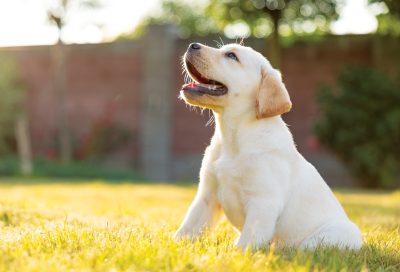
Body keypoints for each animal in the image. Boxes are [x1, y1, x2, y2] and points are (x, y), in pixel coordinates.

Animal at [175, 41, 362, 250]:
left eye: (231, 56)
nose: (192, 45)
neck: (233, 138)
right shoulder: (206, 196)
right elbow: (188, 226)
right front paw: (174, 245)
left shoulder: (263, 202)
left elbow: (247, 240)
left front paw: (238, 254)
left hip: (329, 236)